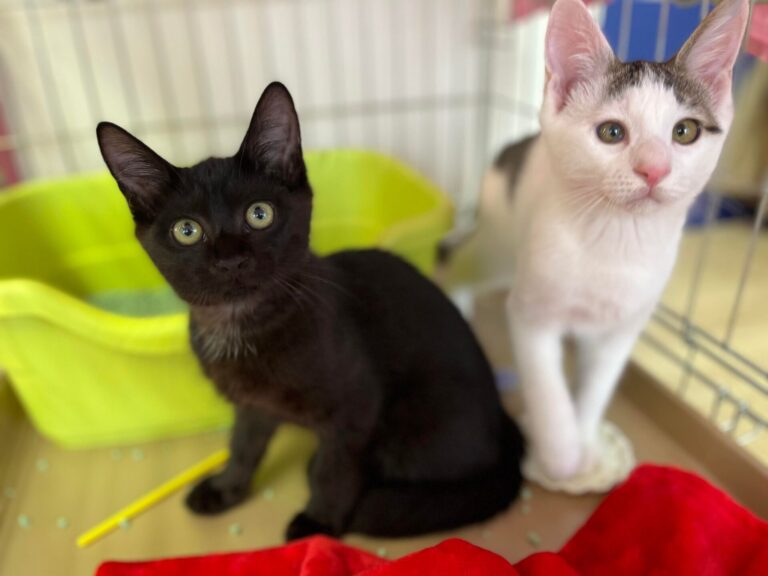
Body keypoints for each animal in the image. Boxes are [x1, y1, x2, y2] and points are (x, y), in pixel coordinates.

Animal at [96, 82, 525, 540]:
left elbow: (334, 470)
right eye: (187, 231)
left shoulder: (355, 408)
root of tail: (506, 429)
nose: (230, 260)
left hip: (409, 428)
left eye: (259, 213)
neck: (241, 325)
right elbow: (242, 446)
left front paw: (320, 521)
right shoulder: (253, 406)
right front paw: (227, 487)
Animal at [439, 0, 749, 493]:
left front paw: (585, 441)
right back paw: (458, 302)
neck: (615, 242)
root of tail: (514, 145)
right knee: (460, 261)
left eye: (684, 131)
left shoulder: (621, 329)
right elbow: (549, 393)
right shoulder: (531, 316)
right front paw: (562, 457)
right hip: (502, 248)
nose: (654, 169)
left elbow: (596, 387)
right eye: (611, 132)